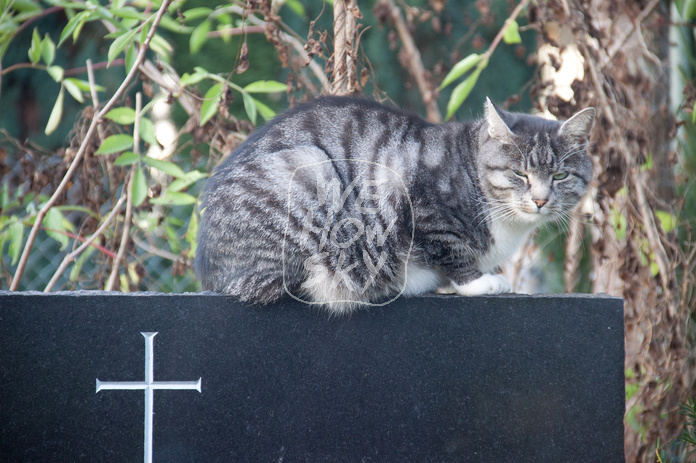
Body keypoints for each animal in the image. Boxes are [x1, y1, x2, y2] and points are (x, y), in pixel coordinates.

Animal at [193, 95, 596, 314]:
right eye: (520, 174)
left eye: (560, 176)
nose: (541, 199)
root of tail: (207, 267)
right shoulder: (420, 204)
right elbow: (450, 249)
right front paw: (480, 282)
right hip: (310, 173)